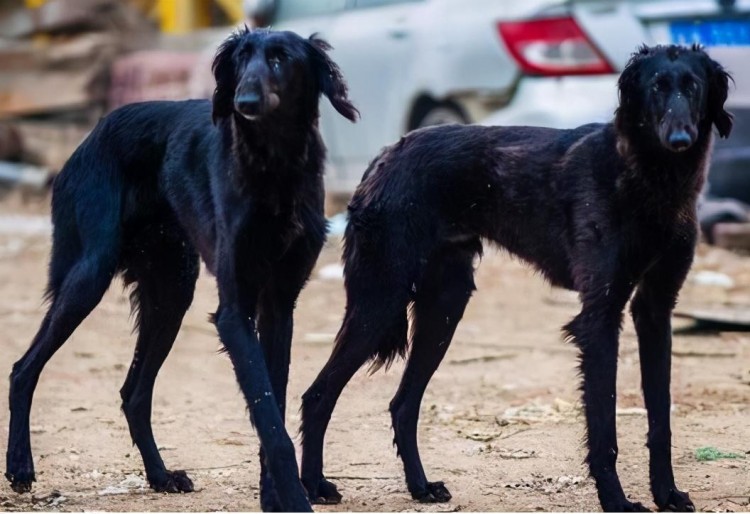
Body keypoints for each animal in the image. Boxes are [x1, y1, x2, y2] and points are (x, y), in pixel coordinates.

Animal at [5, 26, 358, 510]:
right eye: (240, 60)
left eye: (281, 59)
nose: (243, 102)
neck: (274, 168)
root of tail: (92, 133)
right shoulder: (234, 311)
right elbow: (269, 418)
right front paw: (292, 497)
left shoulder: (279, 305)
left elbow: (274, 405)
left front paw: (273, 495)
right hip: (90, 274)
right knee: (24, 368)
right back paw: (20, 465)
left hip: (171, 293)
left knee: (134, 394)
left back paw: (160, 476)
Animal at [300, 46, 736, 510]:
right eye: (656, 87)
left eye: (693, 86)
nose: (680, 139)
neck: (652, 178)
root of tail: (383, 155)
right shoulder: (600, 316)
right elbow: (604, 426)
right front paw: (615, 500)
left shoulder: (655, 310)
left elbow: (661, 418)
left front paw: (666, 493)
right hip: (381, 301)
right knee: (318, 396)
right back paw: (314, 485)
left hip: (443, 308)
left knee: (403, 405)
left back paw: (420, 486)